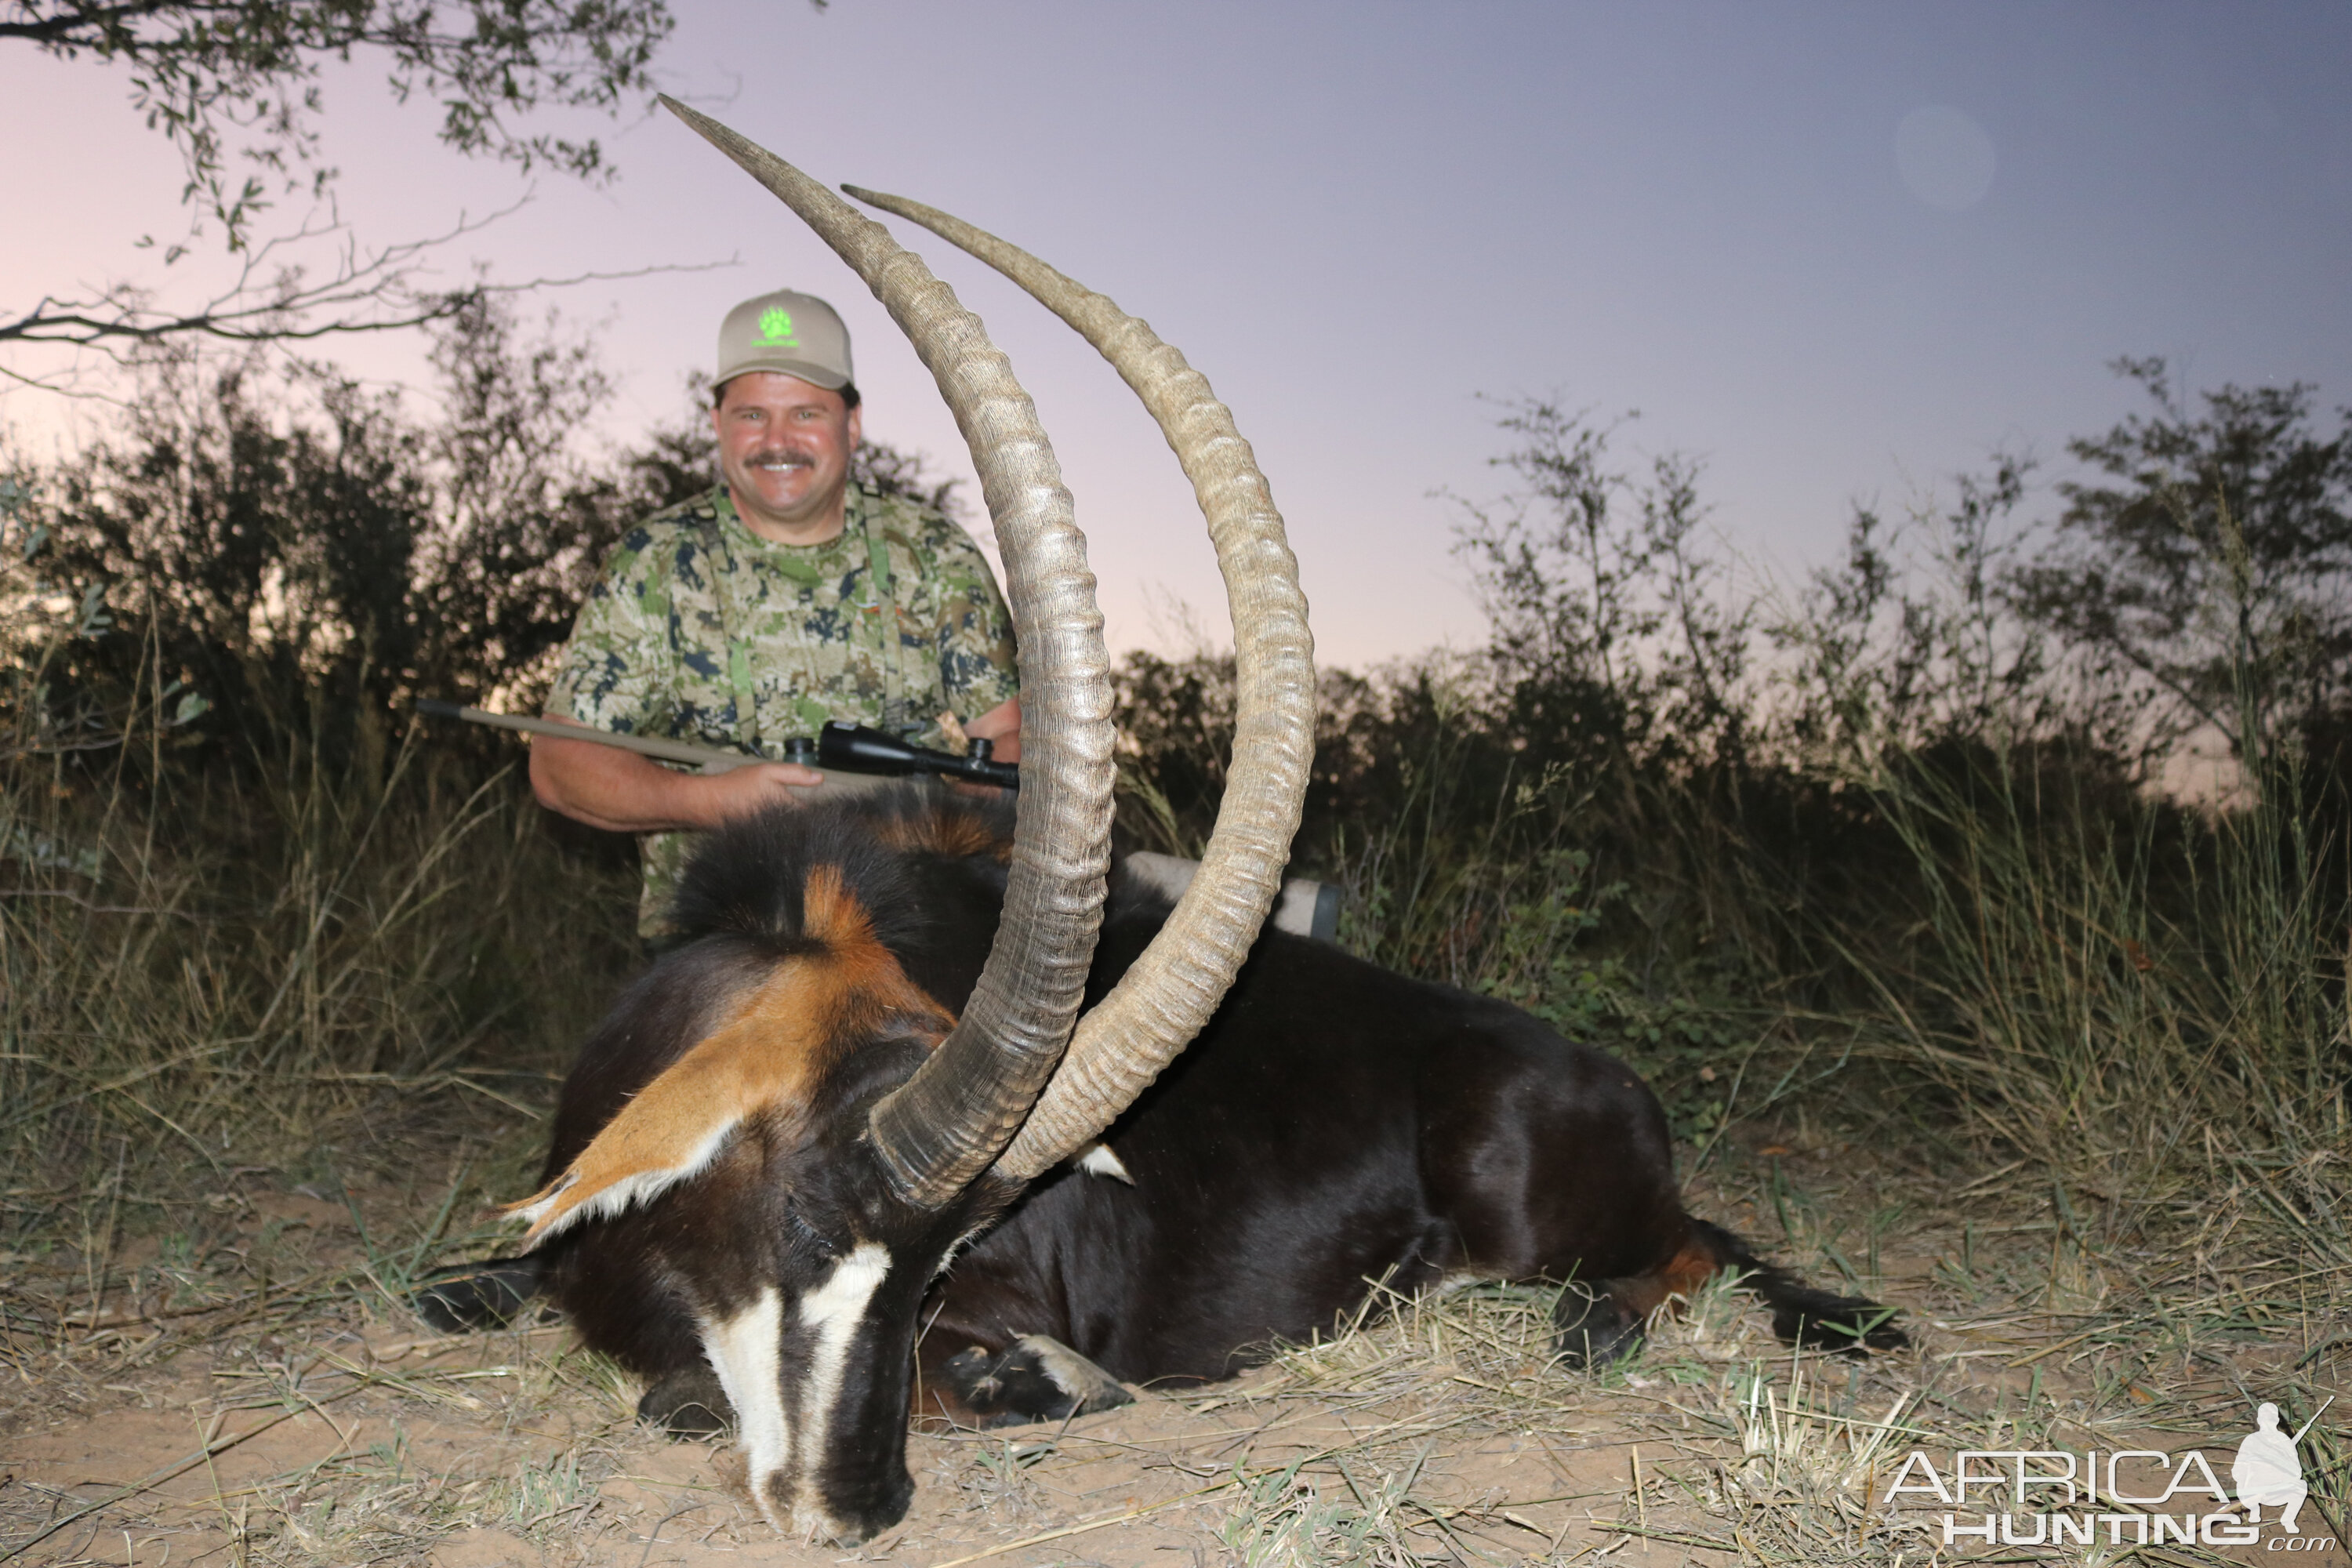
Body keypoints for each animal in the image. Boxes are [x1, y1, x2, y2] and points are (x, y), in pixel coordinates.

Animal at [419, 107, 1891, 1542]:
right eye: (801, 1212)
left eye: (942, 1258)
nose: (856, 1505)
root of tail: (1613, 1084)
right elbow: (483, 1291)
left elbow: (690, 1393)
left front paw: (1037, 1382)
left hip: (1532, 1194)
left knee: (1681, 1252)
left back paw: (1587, 1324)